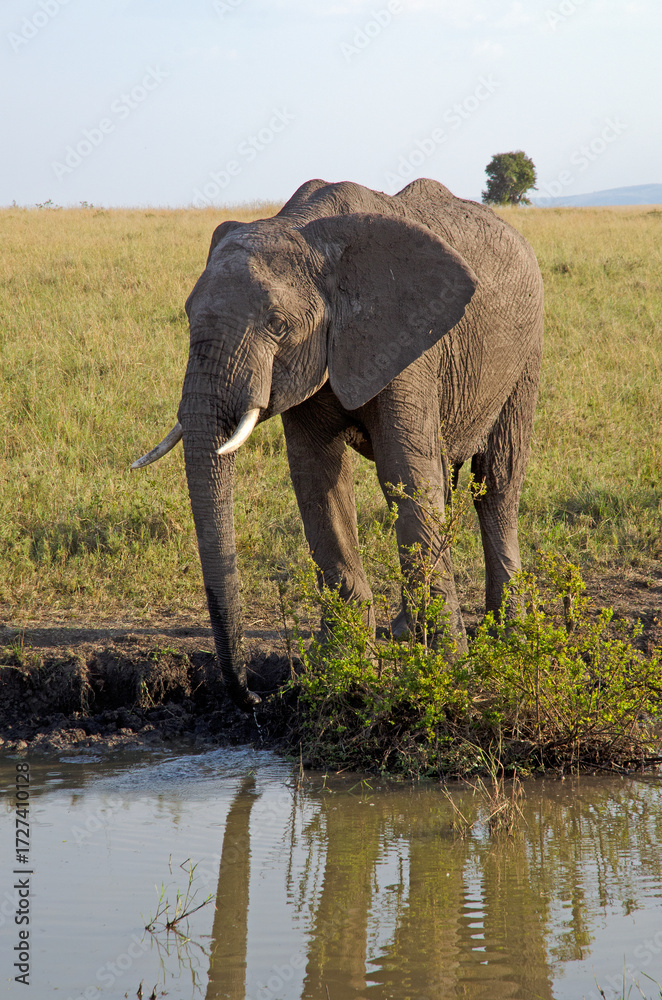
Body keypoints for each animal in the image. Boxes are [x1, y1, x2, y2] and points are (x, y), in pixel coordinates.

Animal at [132, 178, 544, 710]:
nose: (254, 697)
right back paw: (409, 631)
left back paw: (506, 636)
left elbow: (405, 473)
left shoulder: (409, 342)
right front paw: (340, 671)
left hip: (526, 353)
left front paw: (450, 673)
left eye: (277, 325)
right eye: (186, 316)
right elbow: (316, 478)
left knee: (495, 483)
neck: (307, 233)